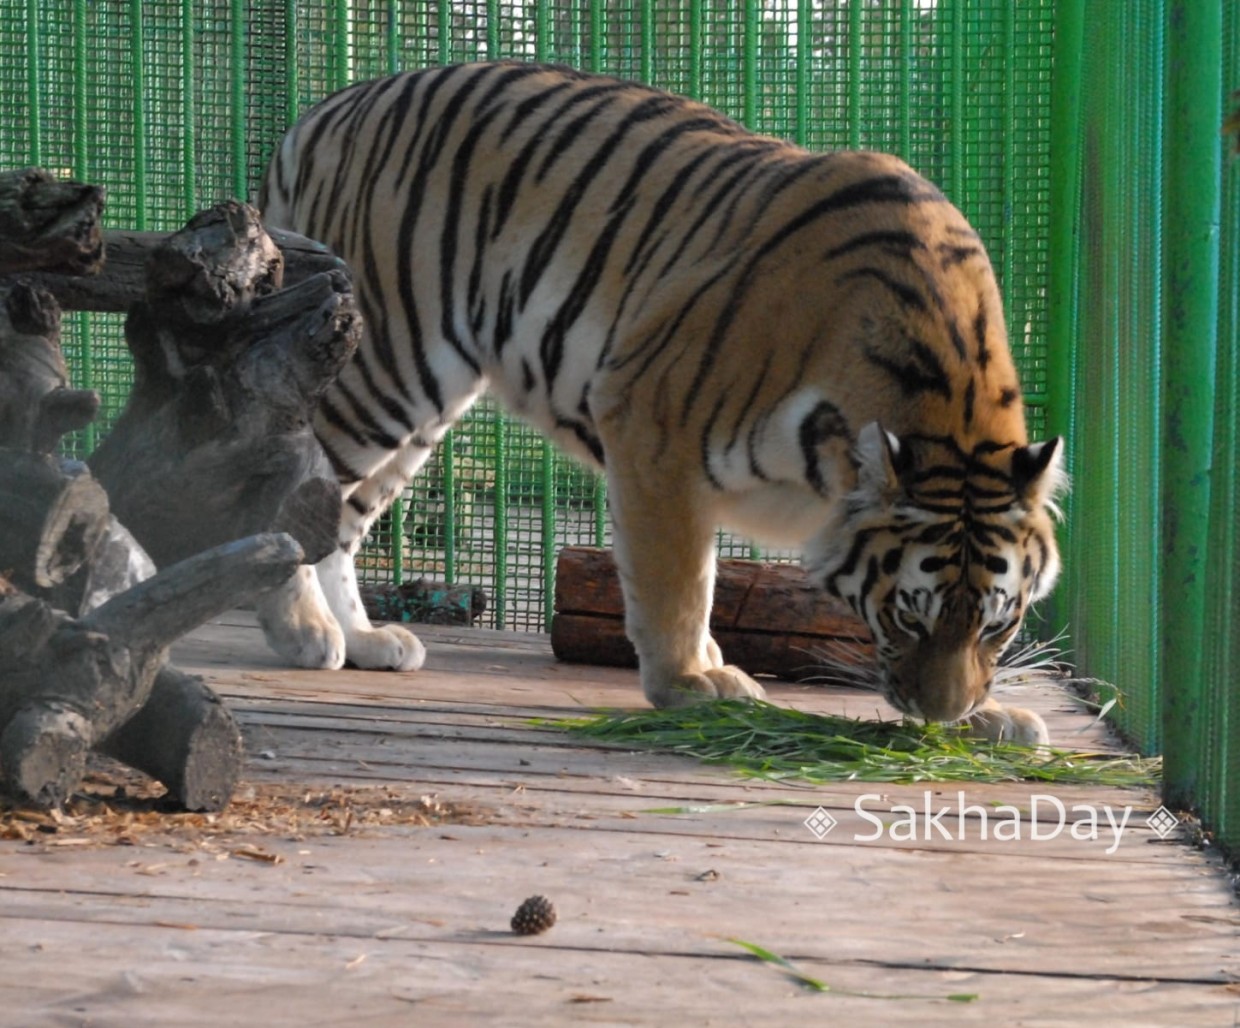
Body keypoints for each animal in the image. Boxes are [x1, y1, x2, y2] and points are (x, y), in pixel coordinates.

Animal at [254, 60, 1066, 744]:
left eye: (995, 627)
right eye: (908, 617)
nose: (942, 716)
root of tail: (321, 110)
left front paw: (995, 715)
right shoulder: (653, 428)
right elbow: (677, 582)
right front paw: (688, 683)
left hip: (421, 409)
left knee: (344, 518)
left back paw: (365, 641)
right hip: (383, 365)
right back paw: (304, 633)